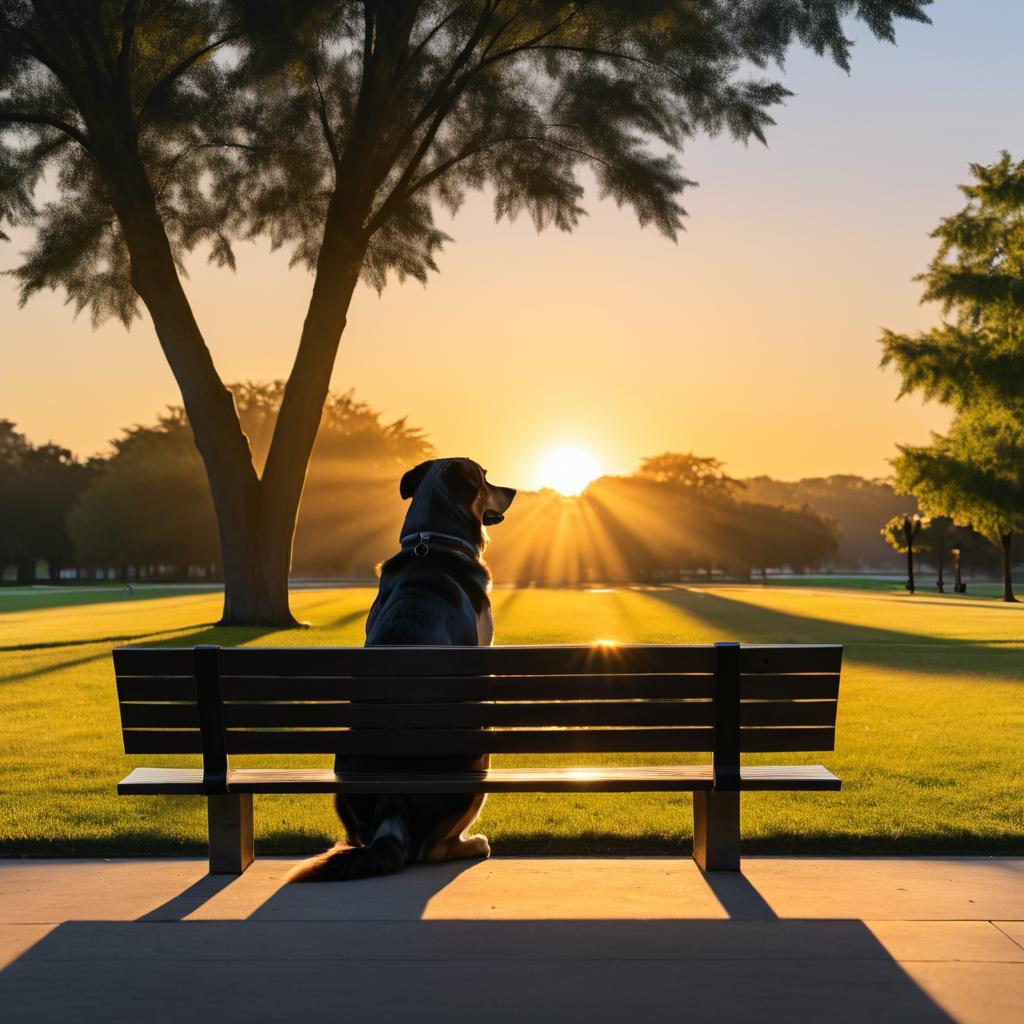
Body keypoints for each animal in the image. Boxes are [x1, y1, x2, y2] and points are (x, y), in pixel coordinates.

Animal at [288, 456, 516, 880]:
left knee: (365, 838)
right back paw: (475, 845)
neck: (436, 540)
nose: (513, 490)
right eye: (484, 478)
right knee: (430, 848)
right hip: (479, 757)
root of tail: (392, 806)